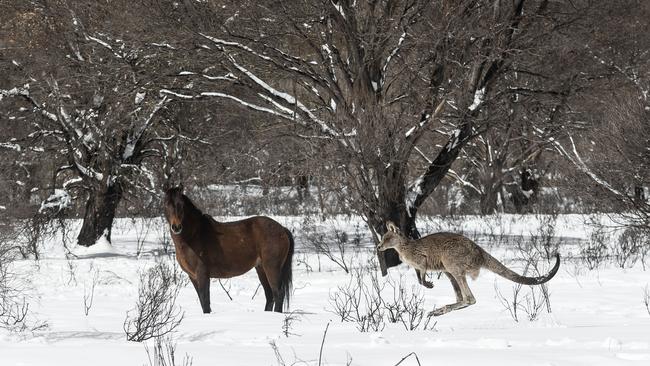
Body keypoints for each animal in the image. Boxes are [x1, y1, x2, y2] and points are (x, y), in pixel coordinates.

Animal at [162, 187, 294, 314]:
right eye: (166, 205)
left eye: (181, 205)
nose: (176, 227)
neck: (193, 236)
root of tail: (282, 229)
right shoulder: (192, 276)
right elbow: (202, 302)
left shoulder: (202, 274)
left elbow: (205, 302)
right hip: (261, 268)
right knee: (270, 296)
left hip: (272, 268)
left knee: (278, 294)